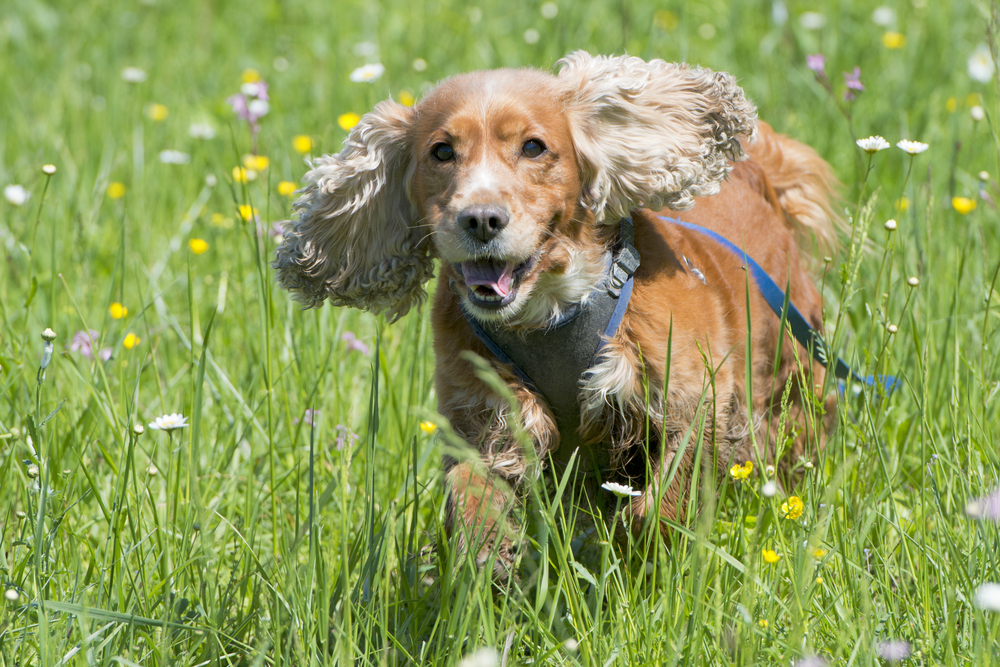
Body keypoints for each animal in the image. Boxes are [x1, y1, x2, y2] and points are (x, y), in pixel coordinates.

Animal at [274, 52, 836, 576]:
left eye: (533, 147)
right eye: (442, 151)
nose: (480, 219)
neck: (551, 310)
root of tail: (757, 171)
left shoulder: (693, 403)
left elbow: (659, 506)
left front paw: (631, 557)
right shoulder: (485, 417)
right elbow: (472, 493)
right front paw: (490, 561)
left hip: (793, 378)